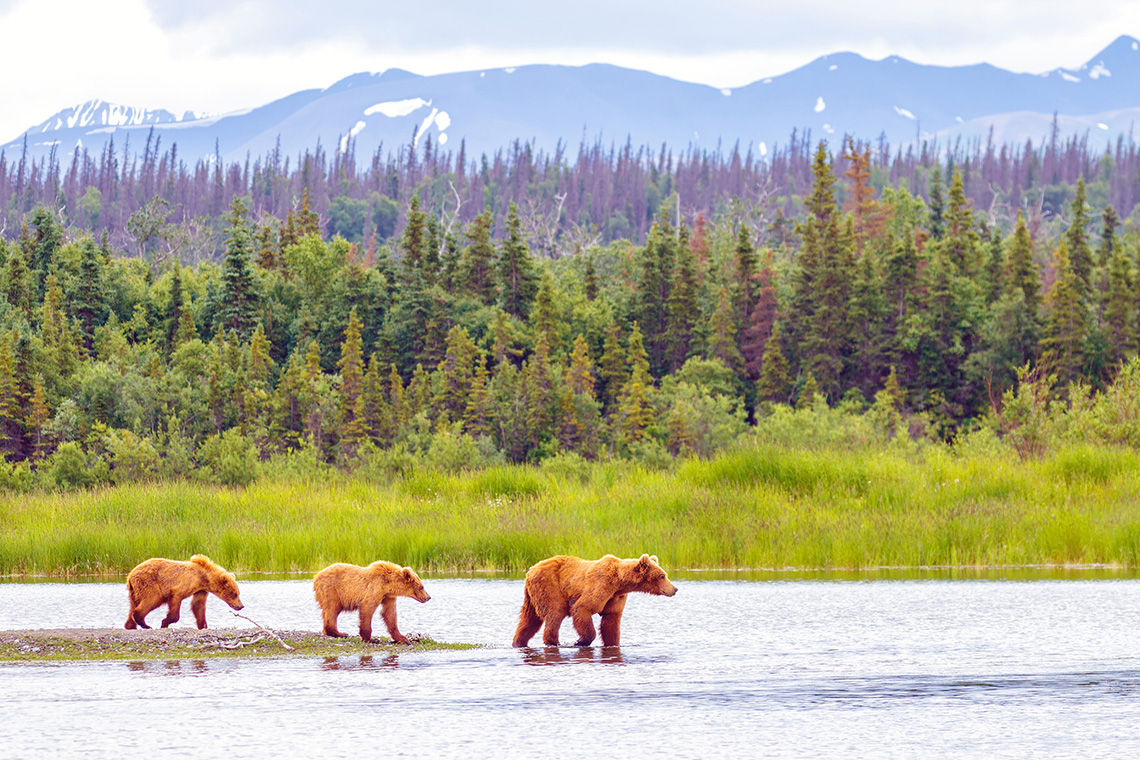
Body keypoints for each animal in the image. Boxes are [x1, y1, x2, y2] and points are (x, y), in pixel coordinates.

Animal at [512, 553, 677, 647]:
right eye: (662, 575)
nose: (674, 589)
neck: (620, 583)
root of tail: (530, 570)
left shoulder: (615, 597)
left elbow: (611, 622)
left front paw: (612, 643)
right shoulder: (601, 585)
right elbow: (582, 608)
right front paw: (580, 641)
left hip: (532, 595)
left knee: (529, 619)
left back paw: (519, 642)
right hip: (549, 586)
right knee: (555, 613)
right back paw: (553, 642)